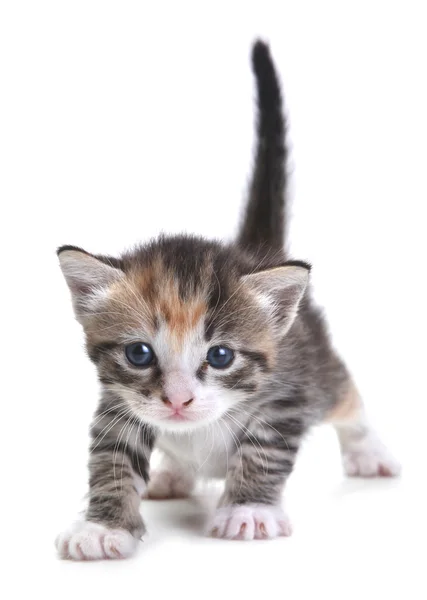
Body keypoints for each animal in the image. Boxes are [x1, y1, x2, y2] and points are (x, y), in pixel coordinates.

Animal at [55, 42, 400, 564]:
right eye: (139, 353)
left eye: (220, 356)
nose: (178, 400)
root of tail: (258, 253)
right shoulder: (118, 404)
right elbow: (111, 458)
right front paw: (102, 526)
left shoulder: (286, 396)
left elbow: (263, 450)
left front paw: (248, 509)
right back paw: (175, 473)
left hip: (320, 368)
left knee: (348, 397)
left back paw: (369, 452)